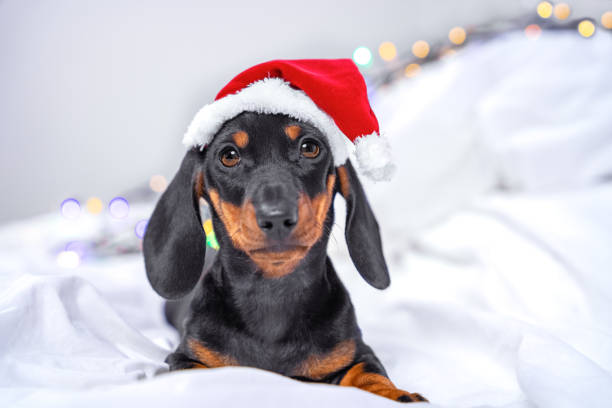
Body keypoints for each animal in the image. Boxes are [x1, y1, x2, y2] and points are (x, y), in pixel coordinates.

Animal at [144, 111, 428, 402]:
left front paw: (396, 395)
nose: (277, 217)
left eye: (310, 147)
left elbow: (368, 373)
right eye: (229, 155)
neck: (273, 293)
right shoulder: (184, 359)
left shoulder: (357, 353)